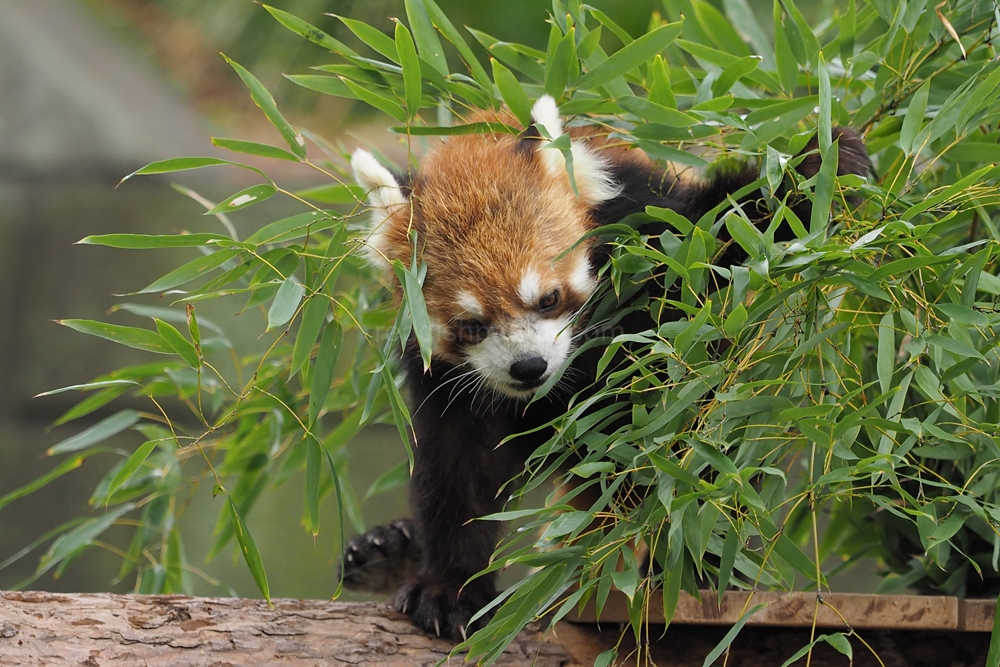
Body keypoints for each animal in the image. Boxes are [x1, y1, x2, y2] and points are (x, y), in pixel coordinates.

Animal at [338, 95, 868, 640]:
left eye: (549, 299)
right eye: (471, 325)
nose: (528, 367)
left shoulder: (654, 238)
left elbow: (725, 231)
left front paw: (821, 163)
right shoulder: (448, 381)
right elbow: (458, 471)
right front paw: (449, 587)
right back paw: (389, 549)